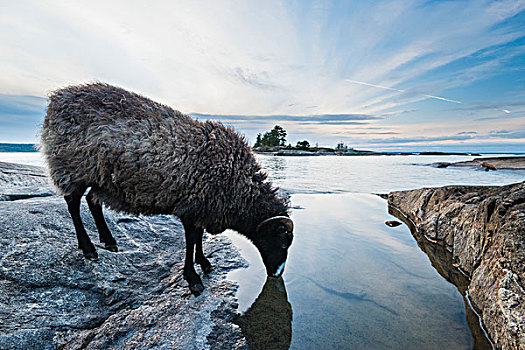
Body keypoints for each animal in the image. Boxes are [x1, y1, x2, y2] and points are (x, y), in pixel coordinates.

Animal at [40, 82, 294, 296]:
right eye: (282, 240)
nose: (277, 274)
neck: (238, 185)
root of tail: (57, 98)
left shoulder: (202, 207)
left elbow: (198, 237)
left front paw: (204, 263)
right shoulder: (193, 206)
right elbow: (191, 239)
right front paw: (193, 279)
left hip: (100, 177)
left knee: (93, 201)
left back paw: (109, 240)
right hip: (71, 166)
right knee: (73, 204)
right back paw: (89, 248)